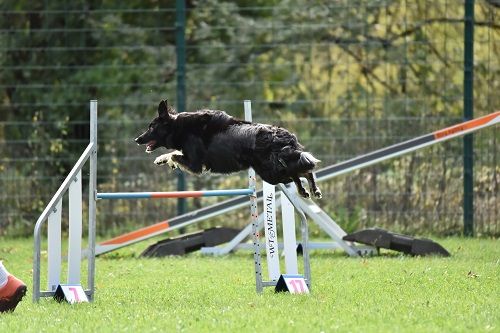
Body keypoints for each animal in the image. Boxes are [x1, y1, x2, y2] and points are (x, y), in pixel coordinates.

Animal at [134, 98, 320, 197]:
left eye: (151, 127)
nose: (137, 139)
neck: (179, 127)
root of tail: (283, 136)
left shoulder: (195, 164)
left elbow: (174, 154)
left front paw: (168, 161)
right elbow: (174, 153)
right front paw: (161, 159)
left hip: (271, 173)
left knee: (298, 172)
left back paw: (307, 189)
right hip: (274, 170)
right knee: (301, 170)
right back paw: (310, 190)